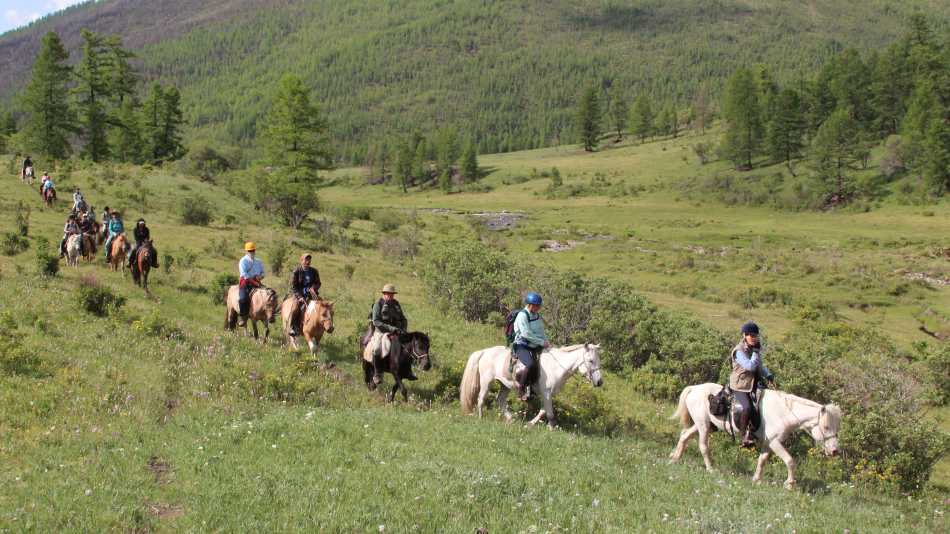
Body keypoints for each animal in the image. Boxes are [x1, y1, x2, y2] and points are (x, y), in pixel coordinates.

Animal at [460, 344, 604, 429]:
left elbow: (543, 410)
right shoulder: (546, 393)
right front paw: (551, 427)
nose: (599, 382)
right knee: (481, 399)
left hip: (505, 385)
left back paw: (510, 419)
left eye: (598, 360)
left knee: (500, 400)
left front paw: (530, 424)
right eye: (591, 360)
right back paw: (480, 417)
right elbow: (549, 412)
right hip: (486, 382)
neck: (556, 367)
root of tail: (485, 351)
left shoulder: (548, 394)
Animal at [669, 383, 841, 489]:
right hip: (703, 426)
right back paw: (710, 469)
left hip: (706, 425)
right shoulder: (775, 443)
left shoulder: (768, 443)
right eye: (826, 427)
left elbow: (762, 460)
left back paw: (674, 458)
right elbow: (790, 461)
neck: (783, 412)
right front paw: (790, 484)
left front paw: (756, 479)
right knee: (703, 446)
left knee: (684, 435)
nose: (834, 451)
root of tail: (694, 388)